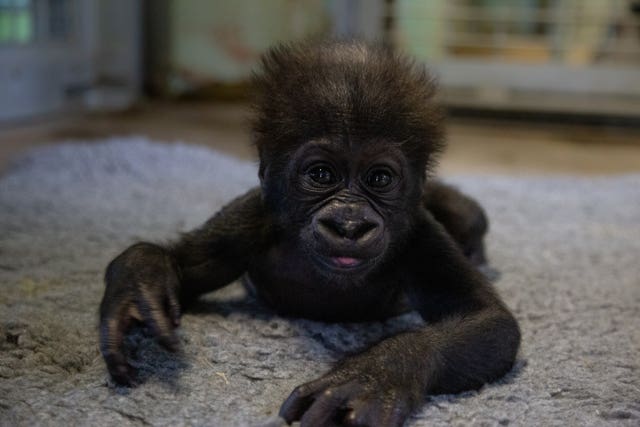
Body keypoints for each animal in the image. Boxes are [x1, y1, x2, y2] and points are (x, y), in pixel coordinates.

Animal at [100, 41, 520, 427]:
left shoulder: (419, 234)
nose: (349, 225)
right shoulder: (252, 217)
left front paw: (375, 374)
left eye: (379, 178)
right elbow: (183, 264)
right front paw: (140, 283)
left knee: (468, 216)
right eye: (321, 174)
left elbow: (492, 323)